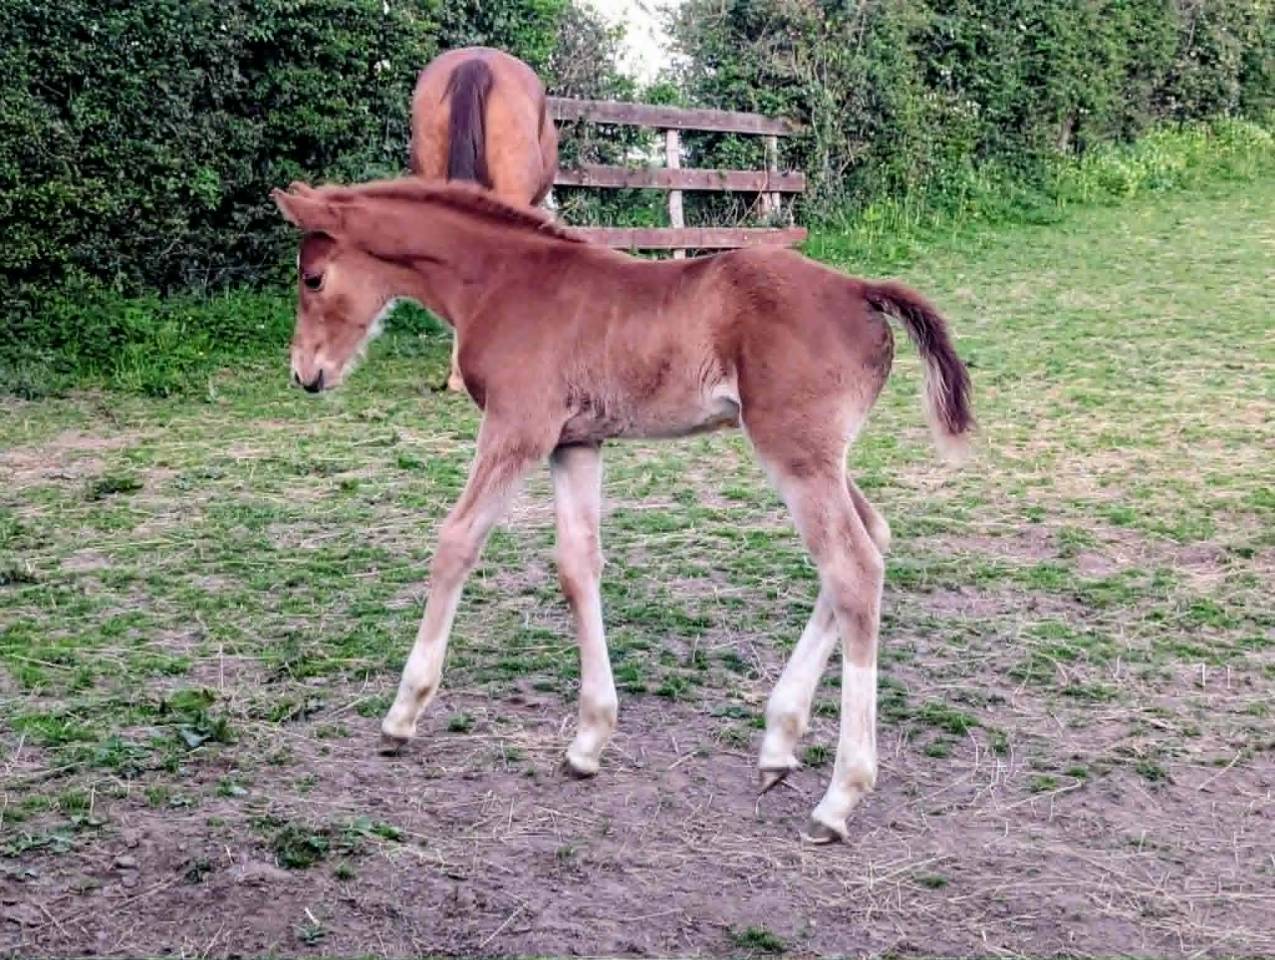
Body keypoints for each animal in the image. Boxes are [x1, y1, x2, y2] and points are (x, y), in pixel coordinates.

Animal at [271, 177, 974, 843]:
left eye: (313, 278)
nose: (305, 374)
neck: (500, 280)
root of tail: (860, 290)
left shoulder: (517, 429)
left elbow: (457, 541)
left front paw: (402, 714)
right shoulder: (575, 443)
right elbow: (577, 565)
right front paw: (589, 741)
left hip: (795, 454)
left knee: (853, 567)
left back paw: (838, 798)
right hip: (818, 457)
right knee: (872, 539)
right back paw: (778, 742)